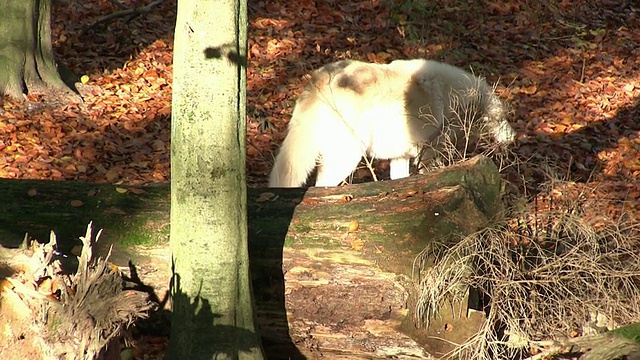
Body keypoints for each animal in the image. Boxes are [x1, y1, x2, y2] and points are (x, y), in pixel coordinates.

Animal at [268, 57, 516, 187]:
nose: (514, 138)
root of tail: (318, 80)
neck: (453, 96)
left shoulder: (401, 157)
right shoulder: (428, 156)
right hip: (347, 157)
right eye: (502, 118)